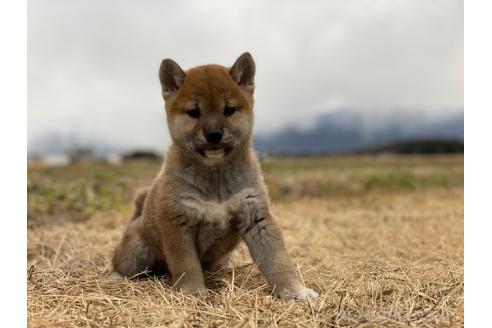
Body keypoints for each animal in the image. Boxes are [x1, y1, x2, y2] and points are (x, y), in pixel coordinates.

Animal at [110, 52, 320, 302]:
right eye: (193, 112)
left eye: (229, 109)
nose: (213, 135)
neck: (216, 178)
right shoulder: (178, 223)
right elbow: (186, 265)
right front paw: (192, 292)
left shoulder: (256, 215)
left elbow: (278, 260)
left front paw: (294, 291)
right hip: (137, 253)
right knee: (122, 264)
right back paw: (115, 276)